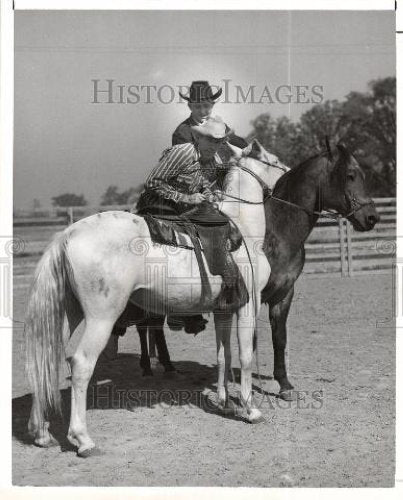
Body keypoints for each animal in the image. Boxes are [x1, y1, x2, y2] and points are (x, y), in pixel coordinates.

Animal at [26, 139, 284, 456]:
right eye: (275, 160)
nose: (287, 168)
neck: (243, 230)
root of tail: (68, 234)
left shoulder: (223, 309)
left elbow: (224, 355)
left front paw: (224, 403)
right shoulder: (248, 306)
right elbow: (246, 356)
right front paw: (250, 410)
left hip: (68, 314)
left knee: (45, 362)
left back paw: (41, 433)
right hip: (101, 318)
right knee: (82, 364)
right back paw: (83, 439)